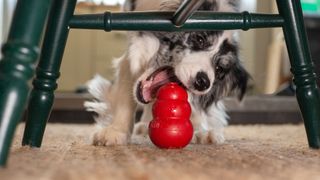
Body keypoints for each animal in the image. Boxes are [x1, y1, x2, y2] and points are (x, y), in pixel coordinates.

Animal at [84, 0, 249, 146]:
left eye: (220, 69)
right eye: (200, 39)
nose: (203, 82)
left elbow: (194, 105)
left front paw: (201, 131)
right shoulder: (130, 56)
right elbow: (125, 97)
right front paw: (116, 131)